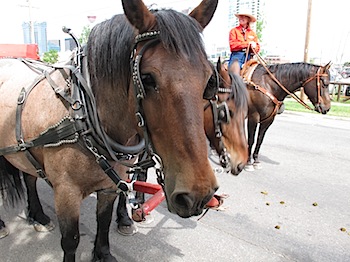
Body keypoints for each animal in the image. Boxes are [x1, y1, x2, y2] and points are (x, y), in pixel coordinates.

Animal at [0, 1, 220, 260]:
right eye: (146, 78)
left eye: (209, 80)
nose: (198, 195)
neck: (83, 114)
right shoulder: (66, 193)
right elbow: (71, 240)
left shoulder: (110, 185)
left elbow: (103, 220)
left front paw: (103, 252)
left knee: (29, 175)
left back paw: (38, 215)